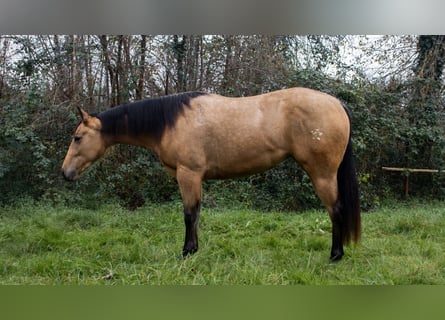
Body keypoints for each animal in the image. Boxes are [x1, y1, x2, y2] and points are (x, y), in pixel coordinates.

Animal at [61, 87, 360, 260]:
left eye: (77, 138)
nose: (65, 173)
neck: (170, 121)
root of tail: (336, 103)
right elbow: (196, 214)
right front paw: (193, 249)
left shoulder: (188, 174)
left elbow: (189, 214)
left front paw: (186, 253)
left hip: (322, 175)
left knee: (336, 210)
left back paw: (335, 255)